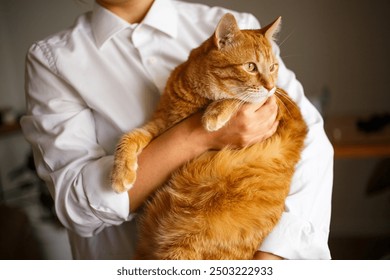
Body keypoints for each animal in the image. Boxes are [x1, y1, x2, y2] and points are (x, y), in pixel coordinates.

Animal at [110, 12, 308, 258]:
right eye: (251, 67)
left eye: (273, 67)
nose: (271, 86)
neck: (196, 97)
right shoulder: (162, 124)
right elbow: (129, 137)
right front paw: (121, 174)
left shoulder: (277, 104)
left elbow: (240, 98)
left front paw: (215, 112)